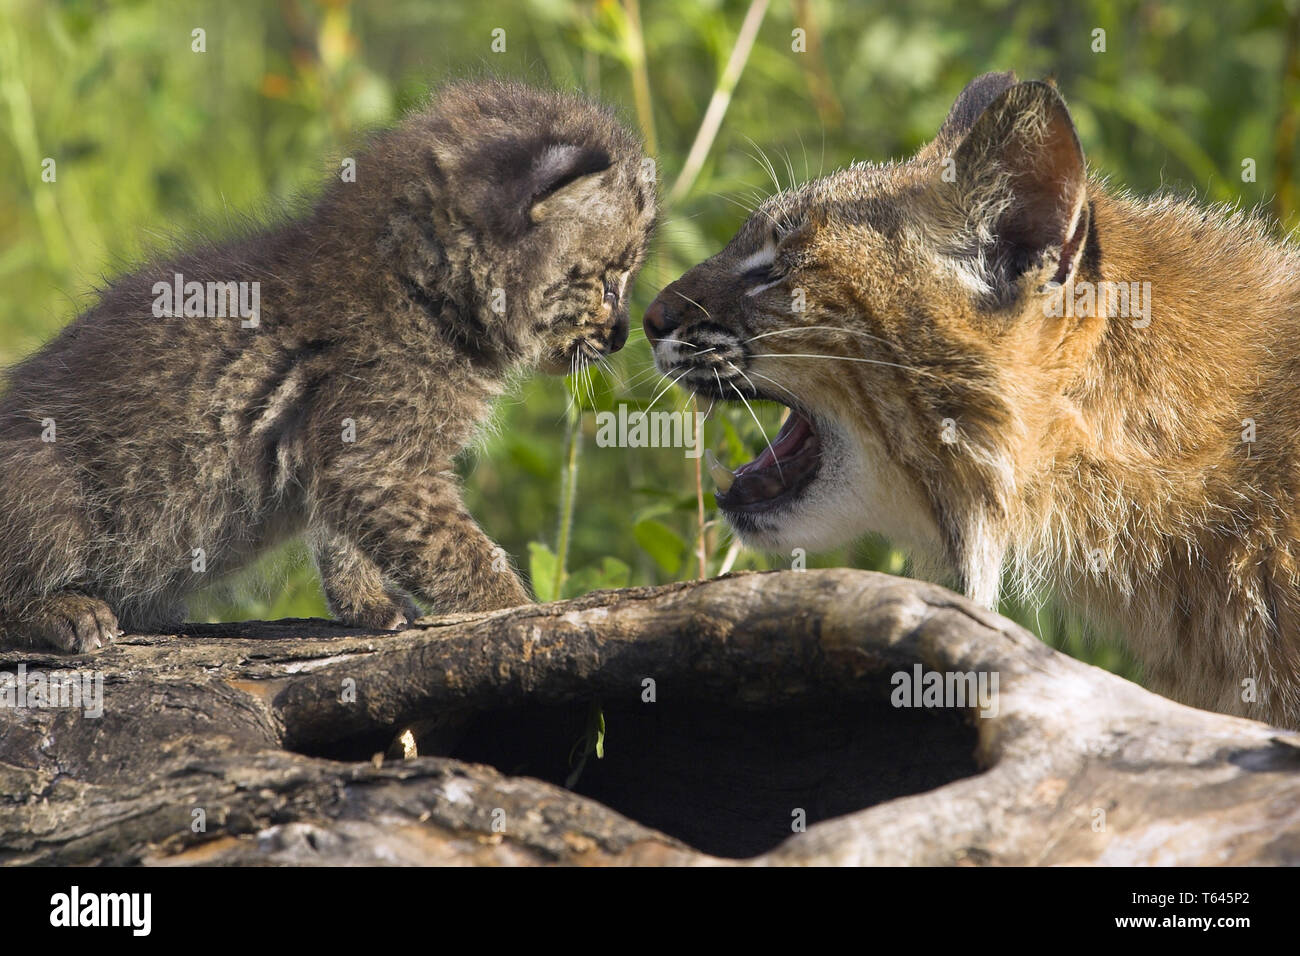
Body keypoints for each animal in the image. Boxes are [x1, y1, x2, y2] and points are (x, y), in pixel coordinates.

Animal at [0, 80, 650, 650]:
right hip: (48, 481)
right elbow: (460, 553)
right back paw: (65, 610)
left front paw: (367, 602)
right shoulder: (379, 462)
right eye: (608, 279)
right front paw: (519, 613)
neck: (420, 289)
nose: (623, 336)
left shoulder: (345, 454)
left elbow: (343, 536)